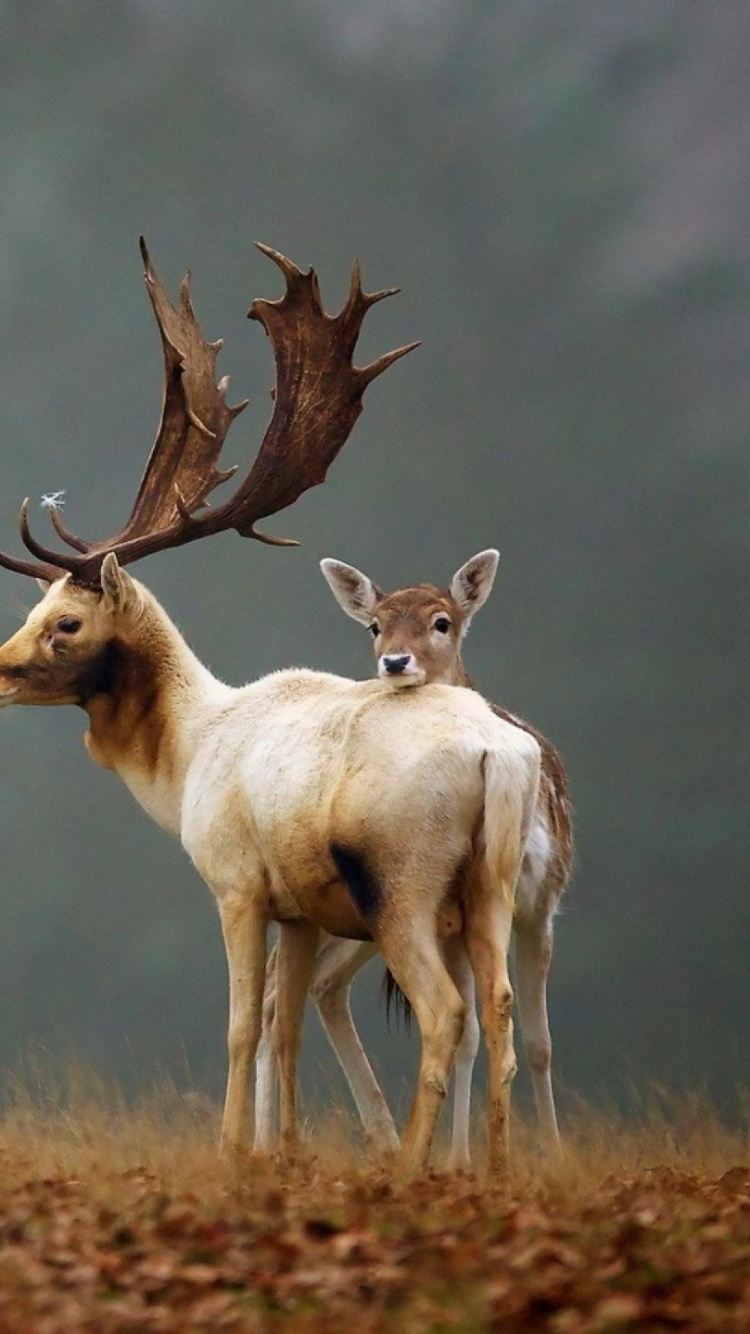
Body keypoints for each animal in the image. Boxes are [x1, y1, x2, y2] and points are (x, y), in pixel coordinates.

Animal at [256, 551, 571, 1166]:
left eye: (441, 621)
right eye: (374, 625)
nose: (395, 661)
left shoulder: (542, 901)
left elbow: (539, 1040)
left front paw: (545, 1153)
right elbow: (477, 1032)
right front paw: (461, 1160)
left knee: (311, 988)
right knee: (283, 991)